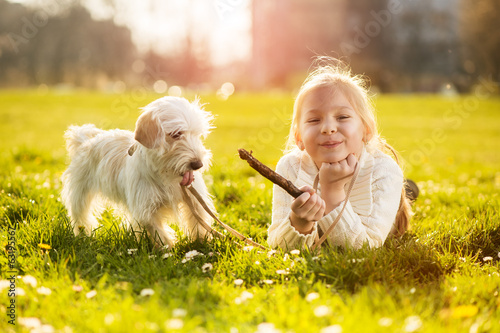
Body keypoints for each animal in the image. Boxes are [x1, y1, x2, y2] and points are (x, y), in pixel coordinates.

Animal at [60, 96, 215, 246]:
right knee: (80, 216)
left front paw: (202, 244)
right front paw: (168, 249)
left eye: (197, 135)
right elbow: (159, 234)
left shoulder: (195, 201)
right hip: (80, 195)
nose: (198, 164)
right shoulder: (146, 211)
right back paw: (83, 236)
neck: (166, 174)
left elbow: (199, 223)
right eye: (176, 134)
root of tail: (85, 141)